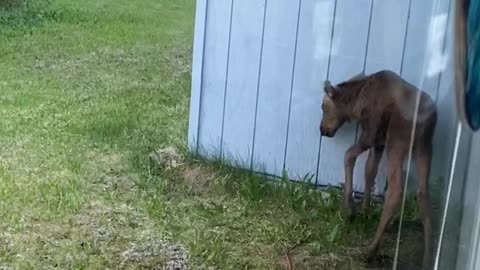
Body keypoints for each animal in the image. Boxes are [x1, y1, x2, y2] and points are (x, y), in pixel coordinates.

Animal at [320, 69, 436, 268]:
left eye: (323, 107)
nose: (323, 130)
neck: (355, 102)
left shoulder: (371, 133)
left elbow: (349, 155)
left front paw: (350, 208)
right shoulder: (379, 143)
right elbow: (369, 171)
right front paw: (365, 210)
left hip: (396, 142)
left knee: (396, 191)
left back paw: (371, 250)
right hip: (424, 147)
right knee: (423, 193)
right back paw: (428, 256)